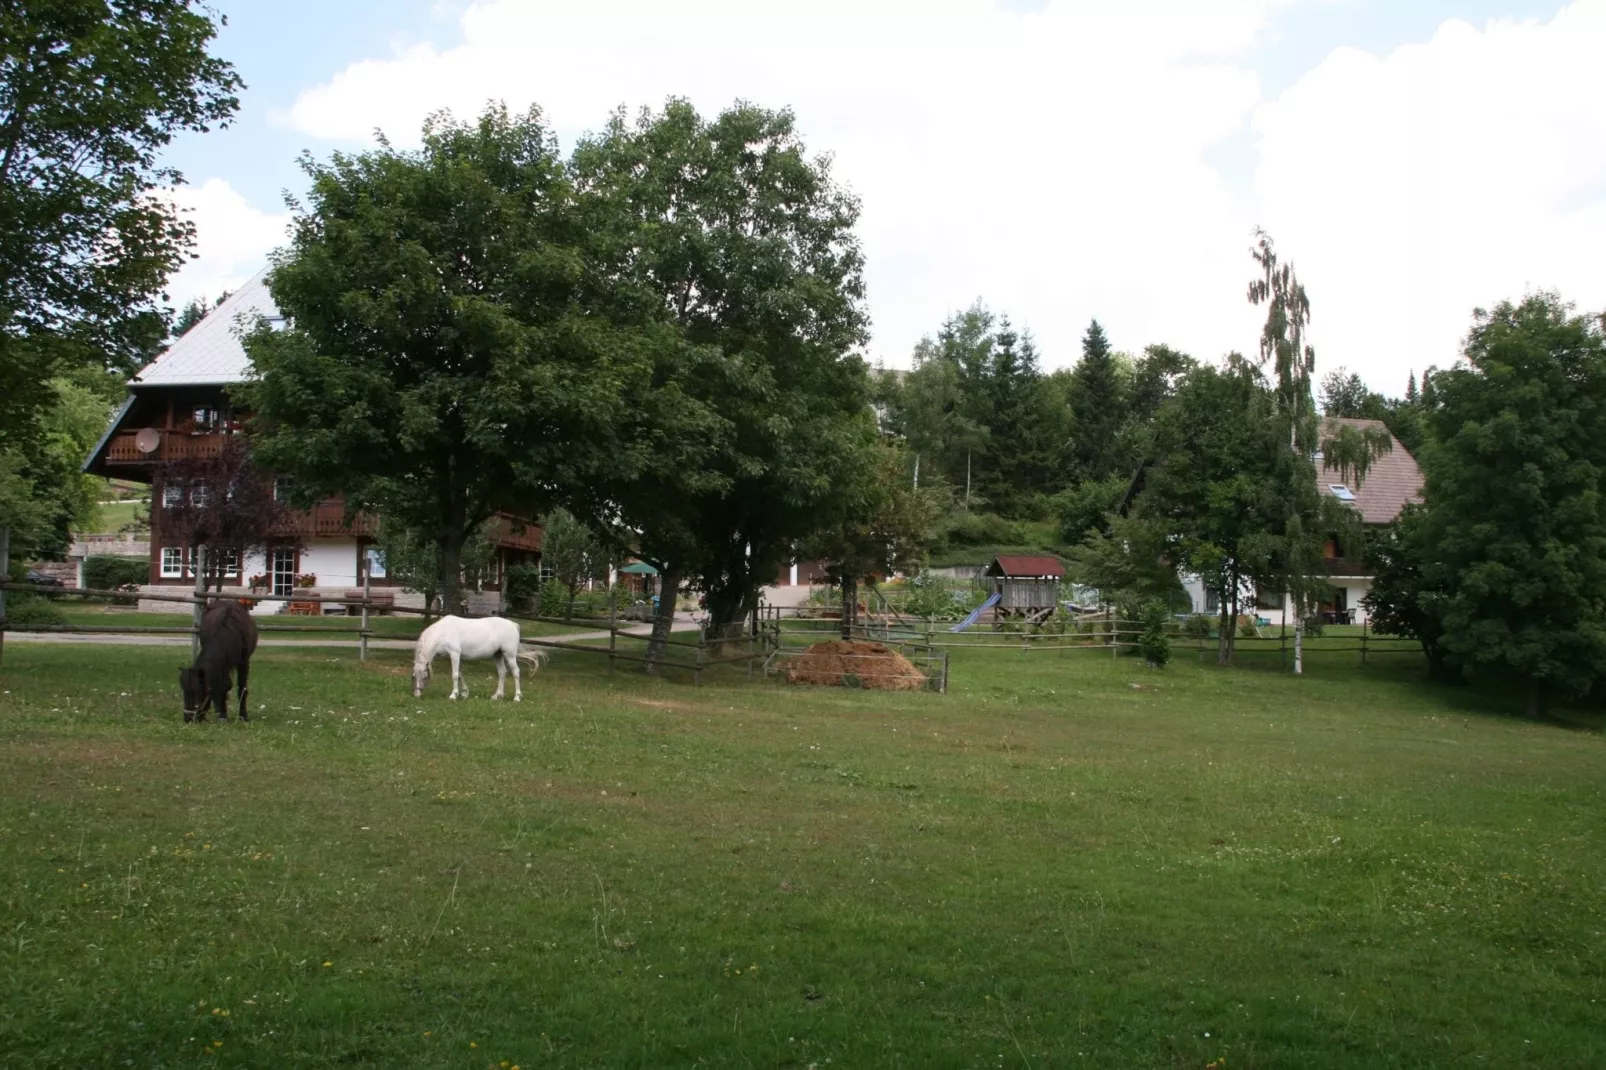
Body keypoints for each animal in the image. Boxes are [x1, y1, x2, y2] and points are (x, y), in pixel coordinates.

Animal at [411, 616, 542, 700]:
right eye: (413, 677)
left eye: (424, 675)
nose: (417, 694)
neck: (443, 632)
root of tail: (514, 624)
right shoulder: (453, 657)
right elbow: (460, 674)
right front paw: (464, 693)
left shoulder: (455, 654)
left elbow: (455, 675)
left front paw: (454, 695)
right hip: (497, 655)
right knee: (502, 672)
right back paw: (497, 696)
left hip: (509, 655)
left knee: (516, 672)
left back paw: (517, 697)